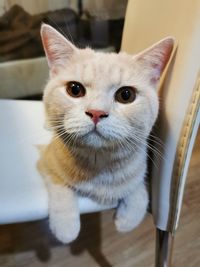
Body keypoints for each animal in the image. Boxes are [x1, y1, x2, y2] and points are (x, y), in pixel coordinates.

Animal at [38, 23, 173, 245]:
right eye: (75, 89)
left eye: (126, 95)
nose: (96, 112)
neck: (99, 163)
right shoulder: (45, 161)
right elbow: (59, 184)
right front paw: (66, 226)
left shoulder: (139, 168)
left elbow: (139, 190)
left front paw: (127, 219)